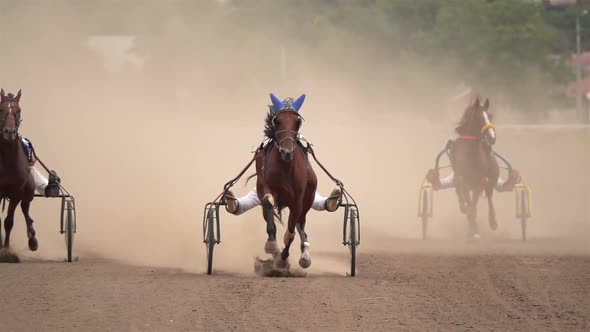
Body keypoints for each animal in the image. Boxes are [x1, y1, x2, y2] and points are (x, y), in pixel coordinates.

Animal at [256, 92, 320, 268]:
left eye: (297, 122)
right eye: (277, 121)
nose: (286, 152)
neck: (285, 169)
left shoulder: (297, 201)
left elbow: (291, 232)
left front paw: (284, 257)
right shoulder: (266, 186)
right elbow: (267, 203)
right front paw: (272, 246)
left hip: (307, 201)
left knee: (300, 225)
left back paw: (304, 254)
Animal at [454, 96, 500, 239]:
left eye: (490, 115)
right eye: (478, 117)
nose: (492, 137)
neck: (471, 156)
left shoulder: (480, 181)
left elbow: (474, 205)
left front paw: (473, 232)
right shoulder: (463, 180)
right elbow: (469, 205)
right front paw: (473, 231)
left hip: (492, 175)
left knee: (489, 194)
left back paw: (493, 220)